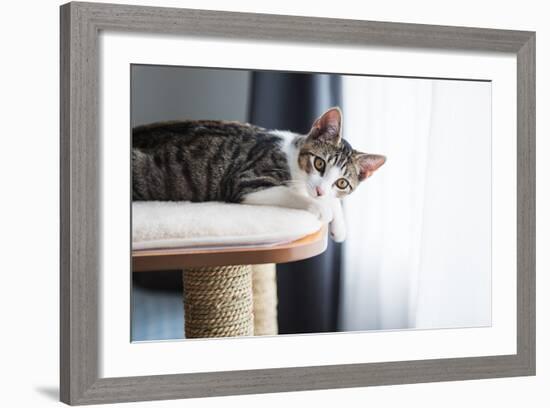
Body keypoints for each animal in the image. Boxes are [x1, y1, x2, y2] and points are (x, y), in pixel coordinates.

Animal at [132, 108, 386, 242]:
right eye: (319, 163)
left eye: (342, 183)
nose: (319, 189)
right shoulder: (246, 181)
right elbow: (292, 194)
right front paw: (322, 209)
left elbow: (331, 199)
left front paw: (339, 225)